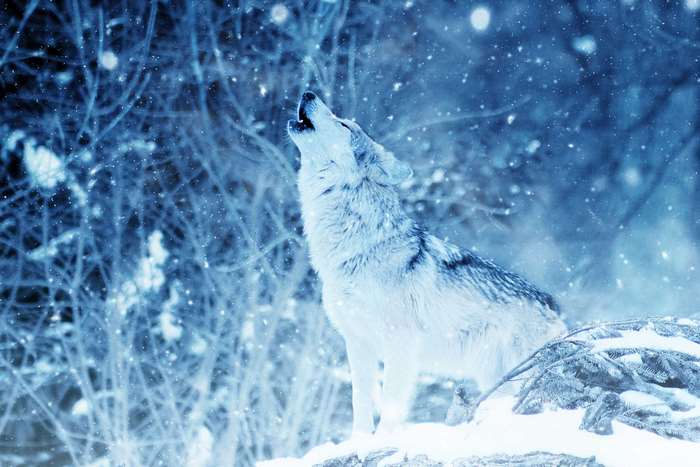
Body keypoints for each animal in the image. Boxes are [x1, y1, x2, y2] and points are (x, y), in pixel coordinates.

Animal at [287, 91, 567, 434]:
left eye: (343, 124)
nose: (308, 93)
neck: (359, 245)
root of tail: (555, 306)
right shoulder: (358, 343)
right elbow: (360, 404)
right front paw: (359, 440)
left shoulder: (400, 344)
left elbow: (391, 407)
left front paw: (384, 440)